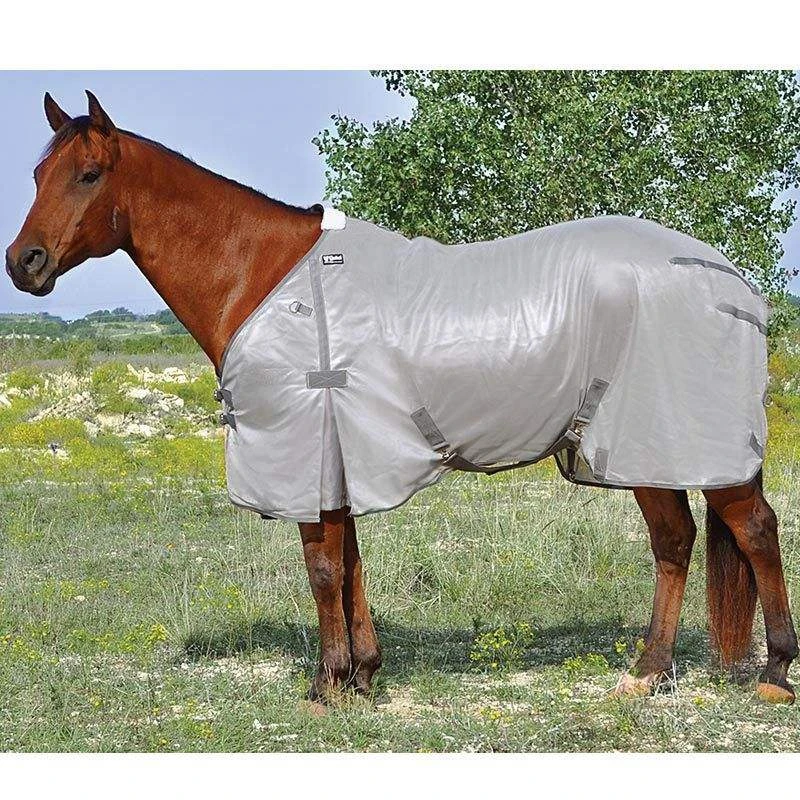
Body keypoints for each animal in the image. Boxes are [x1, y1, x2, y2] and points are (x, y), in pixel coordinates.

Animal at [5, 91, 798, 705]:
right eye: (38, 172)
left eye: (88, 174)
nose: (24, 264)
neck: (267, 277)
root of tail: (725, 276)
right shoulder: (338, 454)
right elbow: (349, 561)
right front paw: (361, 675)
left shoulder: (304, 452)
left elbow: (322, 566)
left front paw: (326, 686)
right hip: (637, 445)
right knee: (677, 541)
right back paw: (649, 673)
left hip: (675, 441)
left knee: (754, 530)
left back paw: (774, 672)